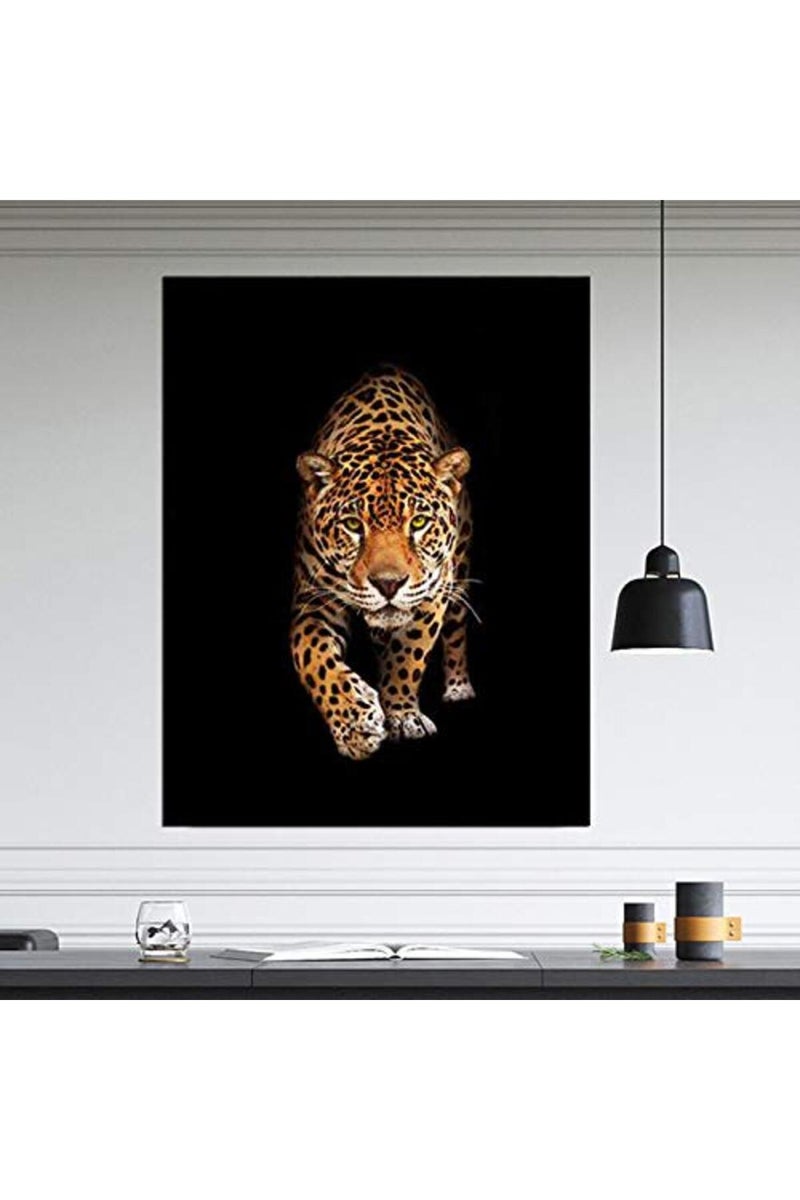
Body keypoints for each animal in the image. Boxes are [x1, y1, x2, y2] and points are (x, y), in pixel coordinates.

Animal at [291, 366, 475, 760]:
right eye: (352, 525)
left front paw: (402, 715)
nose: (388, 584)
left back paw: (458, 687)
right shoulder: (314, 599)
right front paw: (355, 724)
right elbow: (312, 656)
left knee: (455, 629)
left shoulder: (433, 590)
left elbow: (408, 654)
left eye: (418, 522)